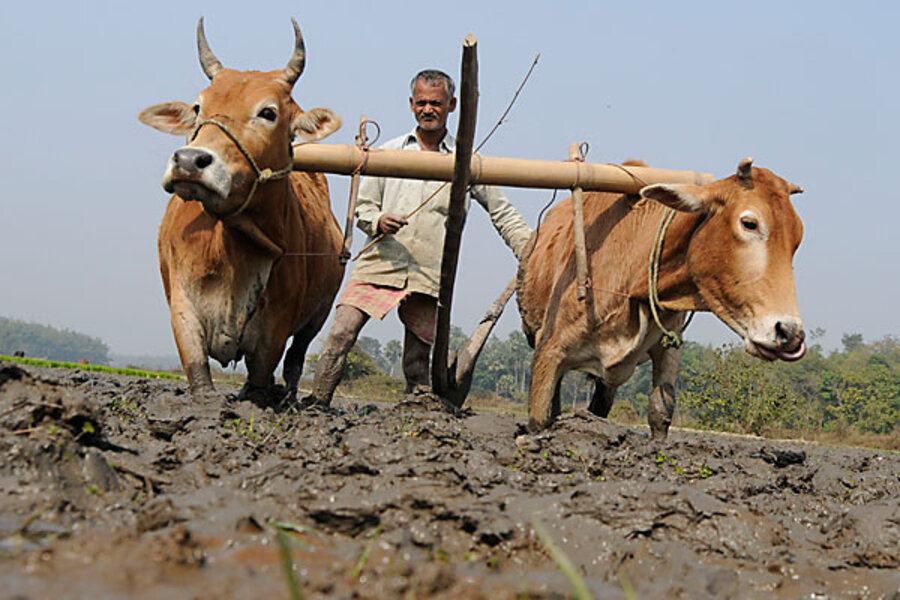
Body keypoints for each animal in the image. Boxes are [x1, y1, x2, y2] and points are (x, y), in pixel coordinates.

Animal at [138, 19, 344, 402]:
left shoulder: (275, 330)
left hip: (318, 316)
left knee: (296, 358)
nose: (189, 161)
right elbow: (198, 374)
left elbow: (261, 379)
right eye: (198, 107)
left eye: (268, 112)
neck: (232, 247)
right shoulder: (183, 309)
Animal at [517, 158, 806, 439]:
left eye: (798, 236)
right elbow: (539, 418)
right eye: (749, 223)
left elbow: (660, 411)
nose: (789, 333)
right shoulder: (549, 351)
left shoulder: (669, 346)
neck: (632, 278)